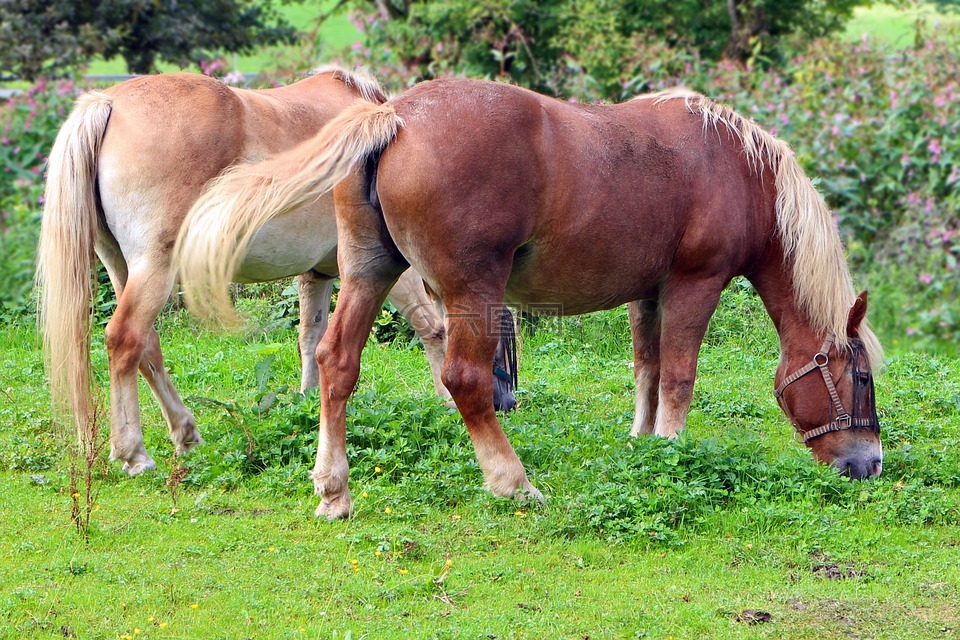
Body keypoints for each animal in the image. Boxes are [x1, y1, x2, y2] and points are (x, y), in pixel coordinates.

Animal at [37, 69, 515, 477]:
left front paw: (309, 403)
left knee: (146, 348)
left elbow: (311, 338)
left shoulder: (317, 274)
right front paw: (445, 402)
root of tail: (109, 102)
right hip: (154, 268)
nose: (507, 403)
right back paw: (134, 453)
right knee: (125, 340)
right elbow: (432, 327)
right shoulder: (389, 269)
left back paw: (185, 432)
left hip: (122, 268)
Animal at [175, 78, 884, 520]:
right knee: (465, 380)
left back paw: (333, 489)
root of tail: (394, 118)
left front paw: (642, 446)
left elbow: (647, 369)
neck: (735, 167)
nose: (869, 463)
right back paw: (511, 483)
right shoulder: (693, 284)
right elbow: (679, 376)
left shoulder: (648, 294)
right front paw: (671, 452)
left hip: (369, 273)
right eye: (861, 379)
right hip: (472, 291)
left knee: (335, 363)